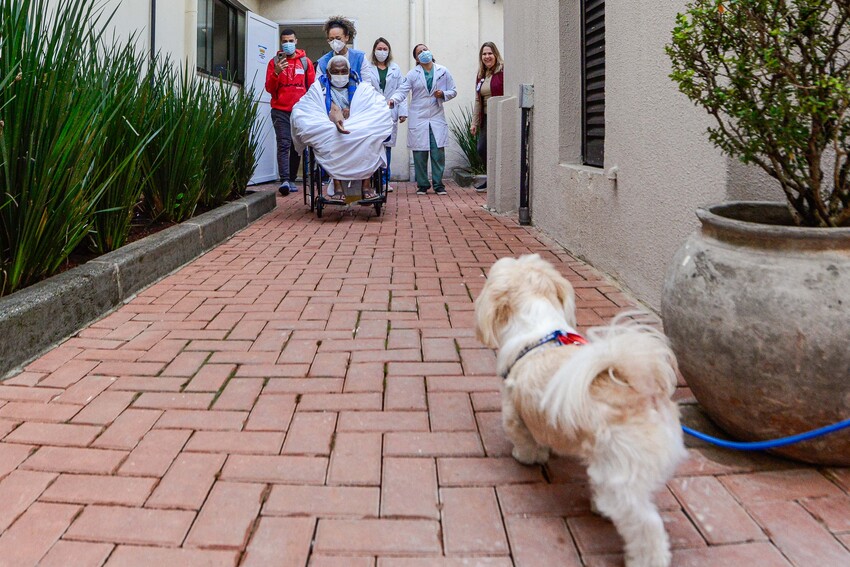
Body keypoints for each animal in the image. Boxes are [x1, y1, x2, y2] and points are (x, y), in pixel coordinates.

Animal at [474, 254, 684, 567]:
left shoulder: (513, 412)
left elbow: (526, 442)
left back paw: (645, 557)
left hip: (620, 477)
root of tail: (643, 391)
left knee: (646, 525)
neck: (540, 333)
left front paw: (527, 457)